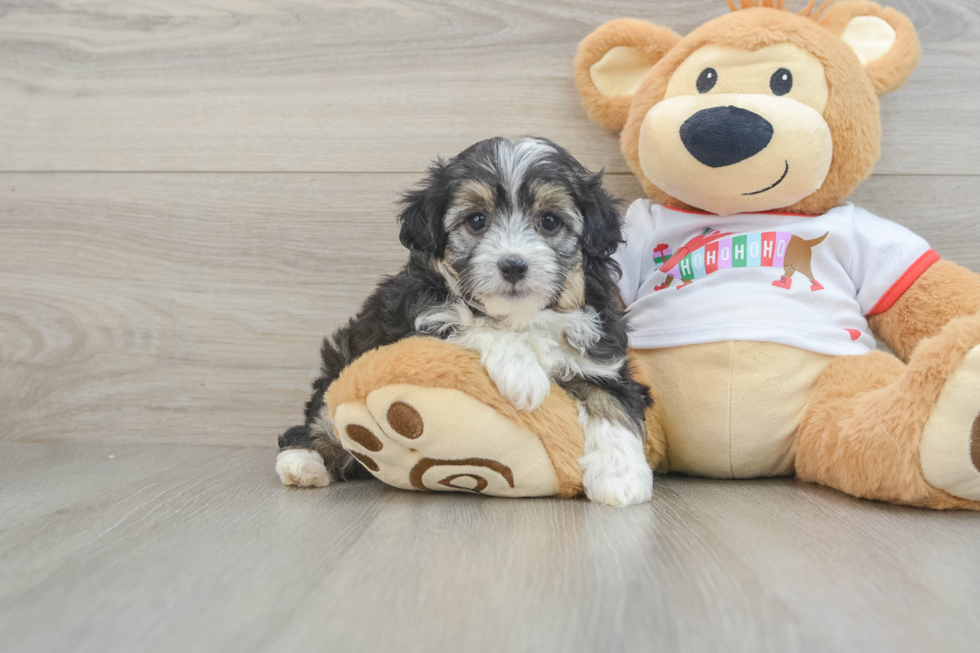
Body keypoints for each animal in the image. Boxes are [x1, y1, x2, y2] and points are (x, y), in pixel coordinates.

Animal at [278, 136, 652, 504]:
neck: (523, 316)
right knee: (321, 416)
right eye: (476, 220)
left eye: (549, 221)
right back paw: (303, 461)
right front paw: (523, 375)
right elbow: (468, 319)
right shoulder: (415, 318)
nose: (513, 265)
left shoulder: (600, 360)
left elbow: (613, 404)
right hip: (343, 358)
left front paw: (622, 477)